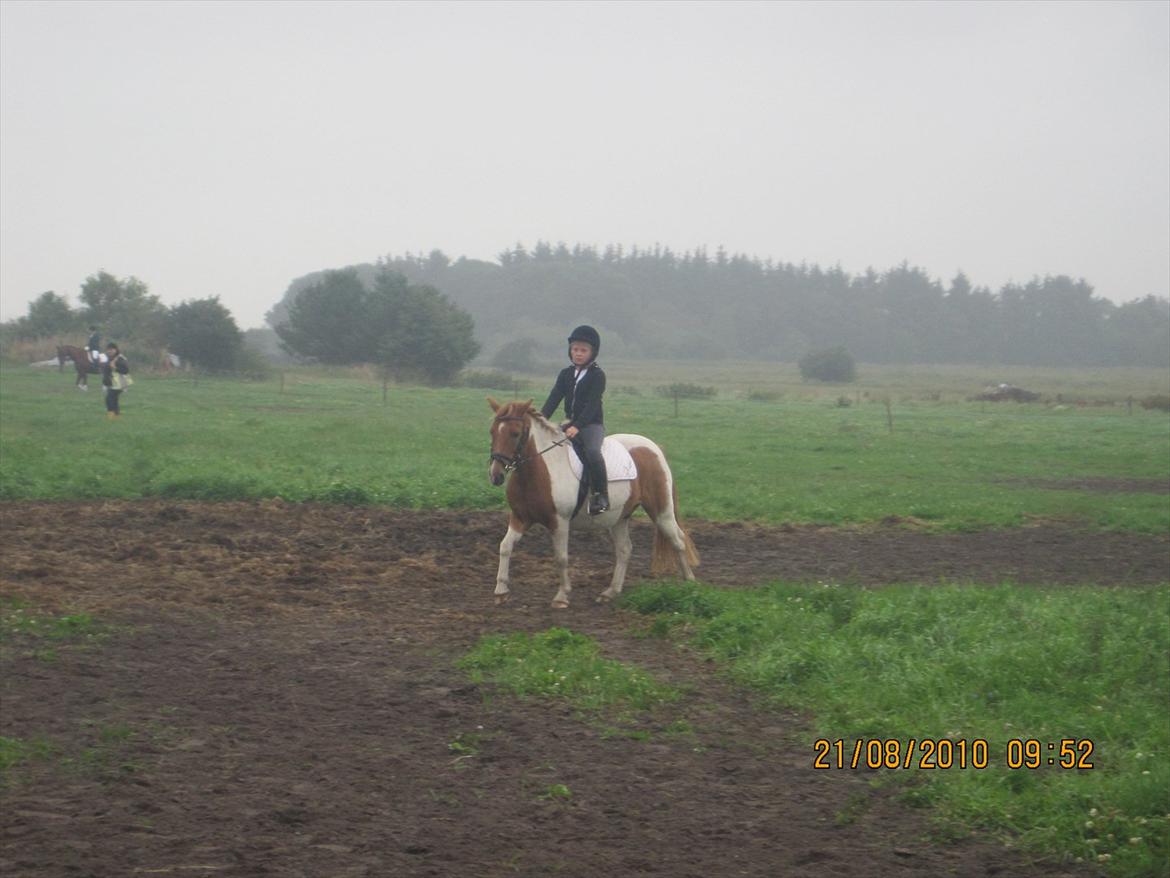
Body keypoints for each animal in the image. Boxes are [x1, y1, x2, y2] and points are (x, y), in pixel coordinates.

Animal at [487, 398, 700, 608]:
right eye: (492, 431)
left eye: (515, 433)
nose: (496, 475)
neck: (539, 469)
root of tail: (654, 448)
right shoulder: (520, 518)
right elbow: (505, 547)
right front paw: (500, 591)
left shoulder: (559, 522)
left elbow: (561, 558)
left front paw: (562, 596)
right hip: (619, 517)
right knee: (624, 550)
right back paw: (611, 592)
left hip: (661, 511)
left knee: (678, 540)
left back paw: (689, 582)